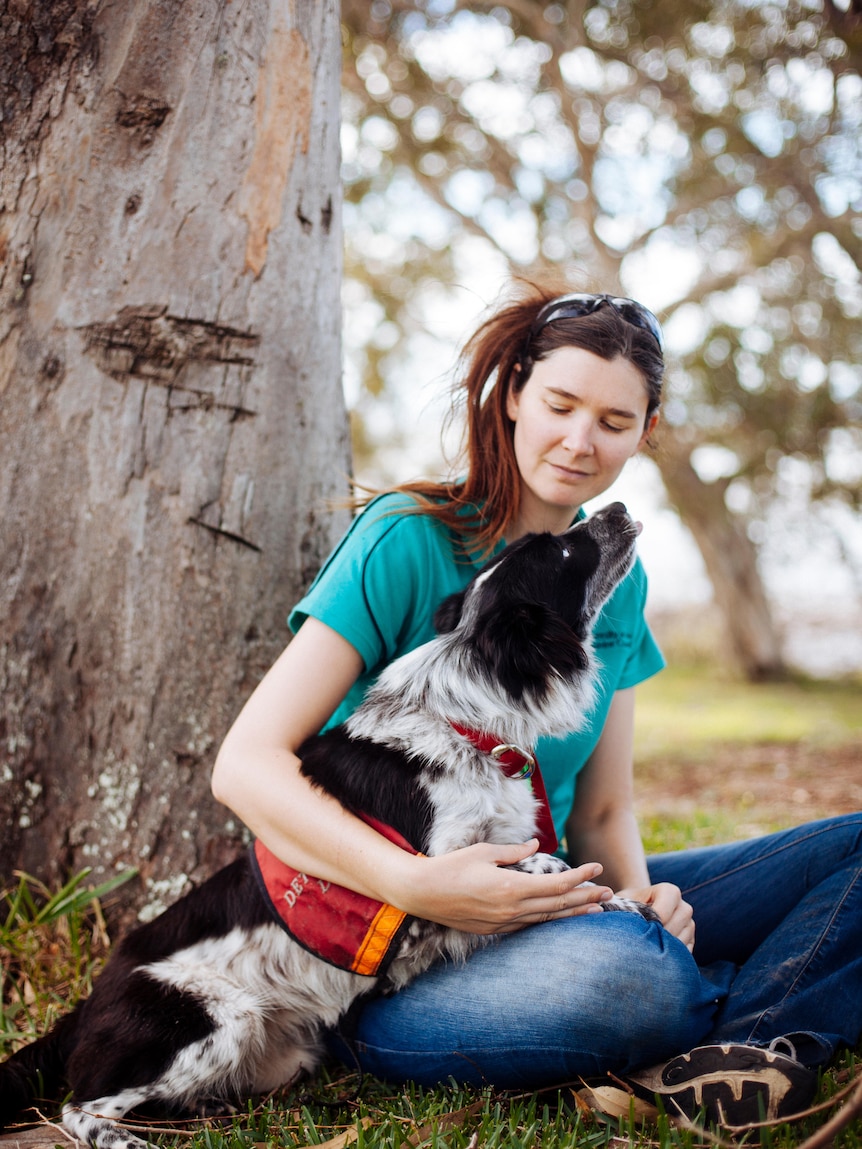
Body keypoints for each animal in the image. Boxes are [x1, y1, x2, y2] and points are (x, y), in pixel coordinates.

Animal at [0, 503, 657, 1149]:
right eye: (564, 549)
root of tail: (87, 1005)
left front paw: (626, 900)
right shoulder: (432, 893)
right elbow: (543, 868)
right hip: (215, 1017)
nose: (621, 505)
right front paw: (593, 888)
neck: (465, 724)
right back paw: (122, 1137)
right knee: (79, 1106)